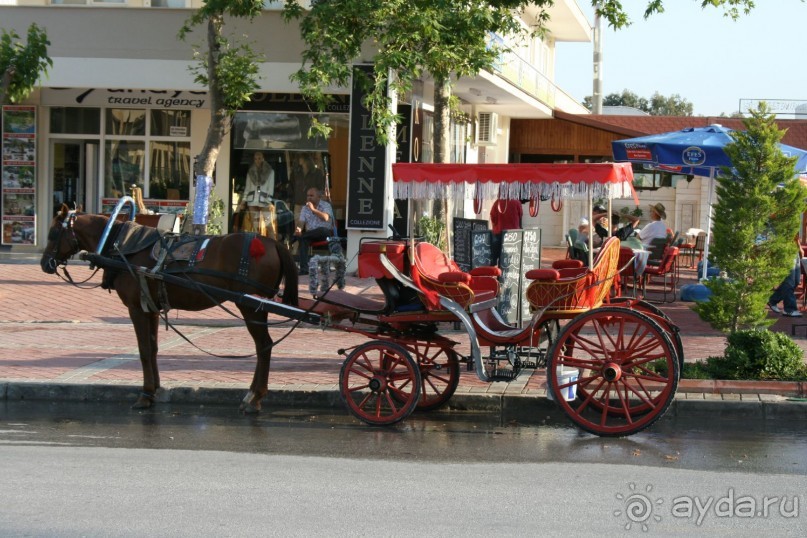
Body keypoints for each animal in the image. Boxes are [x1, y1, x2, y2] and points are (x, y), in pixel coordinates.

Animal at [41, 204, 300, 410]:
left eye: (53, 232)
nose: (45, 263)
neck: (123, 247)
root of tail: (272, 242)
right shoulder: (150, 308)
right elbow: (153, 348)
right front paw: (154, 390)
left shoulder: (135, 308)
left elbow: (144, 350)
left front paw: (145, 395)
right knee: (263, 346)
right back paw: (251, 395)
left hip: (251, 305)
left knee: (264, 345)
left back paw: (255, 398)